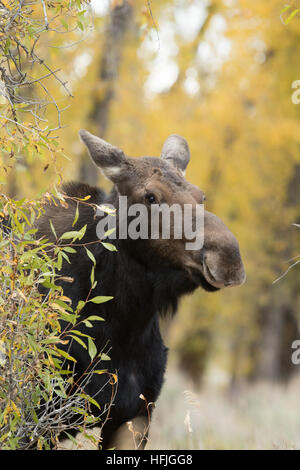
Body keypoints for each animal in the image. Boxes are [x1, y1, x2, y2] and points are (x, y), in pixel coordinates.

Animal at [35, 130, 246, 450]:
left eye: (202, 196)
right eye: (151, 197)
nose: (228, 258)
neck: (123, 323)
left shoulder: (136, 415)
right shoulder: (38, 414)